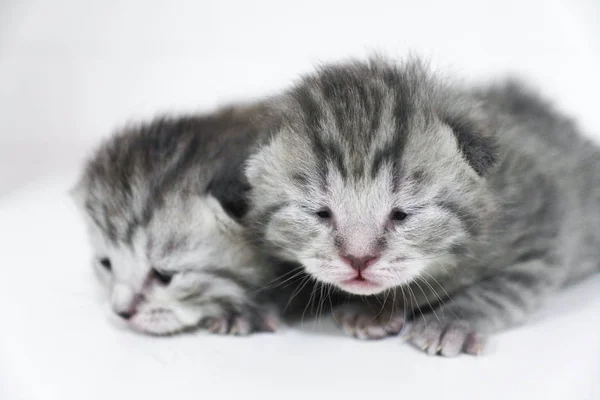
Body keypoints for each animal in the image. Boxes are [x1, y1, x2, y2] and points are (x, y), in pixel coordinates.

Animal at [243, 57, 600, 356]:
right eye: (322, 213)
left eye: (401, 214)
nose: (358, 259)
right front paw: (376, 309)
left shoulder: (545, 231)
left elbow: (499, 290)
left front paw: (450, 323)